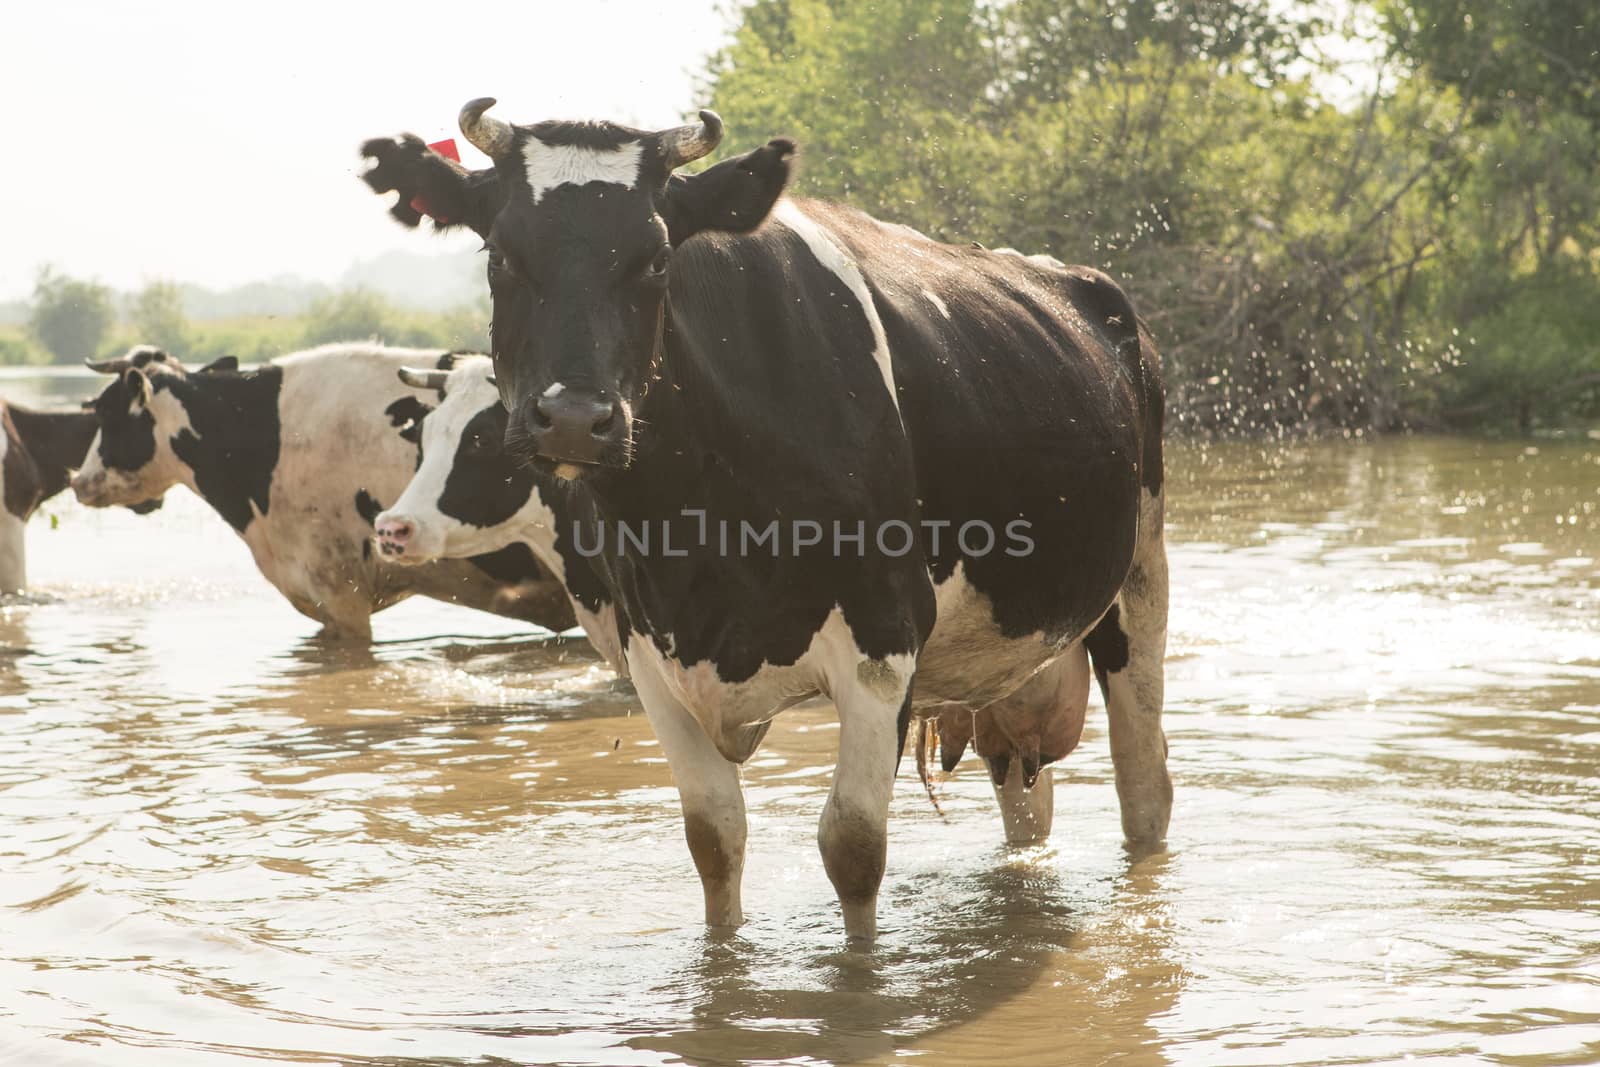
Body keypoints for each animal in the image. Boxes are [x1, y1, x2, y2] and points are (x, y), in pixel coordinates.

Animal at [356, 102, 1171, 940]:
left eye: (656, 258)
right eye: (501, 255)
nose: (576, 419)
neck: (694, 527)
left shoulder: (883, 640)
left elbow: (852, 845)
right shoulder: (650, 655)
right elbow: (713, 837)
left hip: (1141, 579)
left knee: (1143, 782)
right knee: (1026, 798)